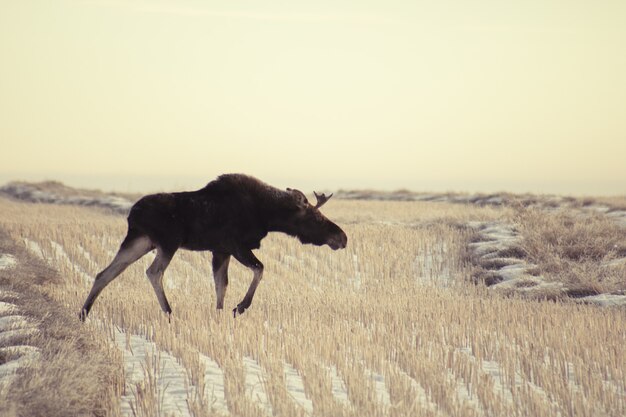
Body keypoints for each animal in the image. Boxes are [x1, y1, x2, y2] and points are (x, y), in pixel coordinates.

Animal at [78, 172, 346, 318]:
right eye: (316, 217)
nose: (342, 238)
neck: (267, 215)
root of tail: (132, 214)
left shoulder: (220, 250)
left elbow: (221, 285)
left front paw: (219, 314)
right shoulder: (235, 245)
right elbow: (259, 269)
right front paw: (240, 307)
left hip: (140, 241)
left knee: (106, 273)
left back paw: (83, 313)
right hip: (167, 242)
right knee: (153, 272)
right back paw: (169, 311)